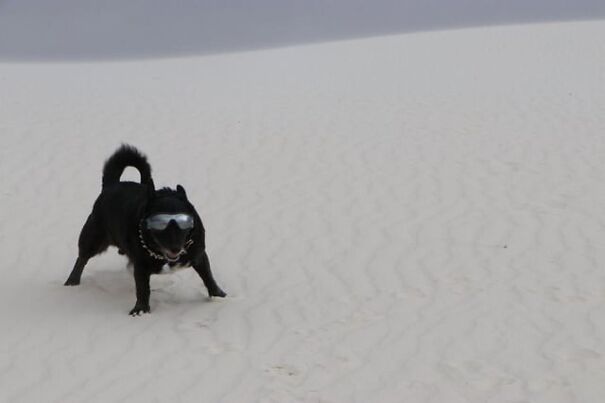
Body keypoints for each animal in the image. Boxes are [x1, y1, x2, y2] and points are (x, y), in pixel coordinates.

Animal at [65, 145, 226, 316]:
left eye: (184, 224)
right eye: (160, 226)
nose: (175, 248)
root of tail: (111, 185)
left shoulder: (199, 255)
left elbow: (208, 276)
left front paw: (219, 295)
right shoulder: (141, 266)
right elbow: (142, 289)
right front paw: (140, 309)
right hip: (93, 238)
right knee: (82, 259)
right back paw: (72, 281)